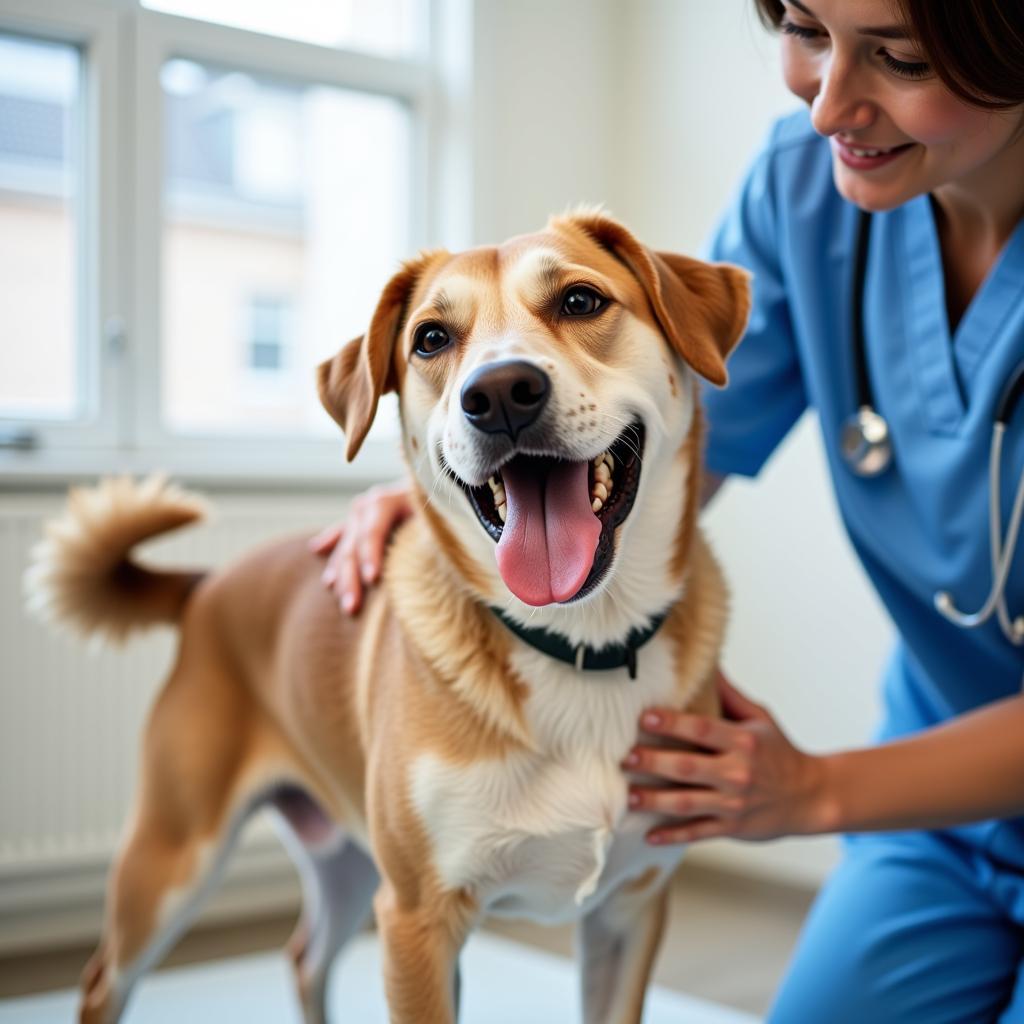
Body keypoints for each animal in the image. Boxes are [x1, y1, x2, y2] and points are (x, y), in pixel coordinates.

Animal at [25, 209, 745, 1024]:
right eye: (430, 339)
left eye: (581, 301)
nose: (501, 392)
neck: (578, 641)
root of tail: (208, 585)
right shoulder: (417, 920)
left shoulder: (629, 910)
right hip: (170, 857)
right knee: (102, 981)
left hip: (343, 860)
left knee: (304, 956)